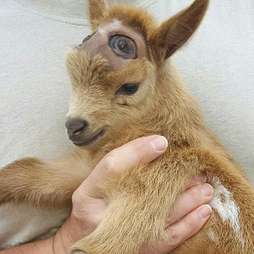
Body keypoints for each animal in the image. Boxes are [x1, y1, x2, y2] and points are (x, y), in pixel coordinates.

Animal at [0, 0, 254, 254]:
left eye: (130, 86)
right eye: (71, 70)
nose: (74, 126)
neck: (167, 135)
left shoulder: (154, 183)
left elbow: (95, 247)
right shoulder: (89, 169)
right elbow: (28, 171)